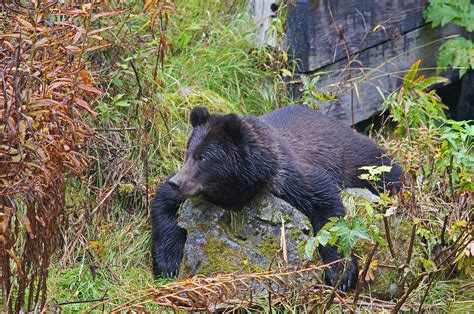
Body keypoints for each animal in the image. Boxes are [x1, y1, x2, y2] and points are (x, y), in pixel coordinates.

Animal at [150, 104, 402, 290]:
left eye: (203, 157)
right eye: (188, 153)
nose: (177, 182)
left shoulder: (286, 177)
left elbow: (326, 206)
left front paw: (341, 273)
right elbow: (163, 205)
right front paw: (168, 264)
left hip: (358, 160)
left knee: (386, 170)